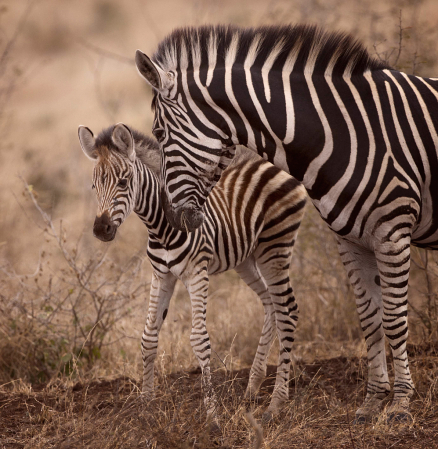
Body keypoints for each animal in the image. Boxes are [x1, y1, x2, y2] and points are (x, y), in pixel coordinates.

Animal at [78, 122, 304, 424]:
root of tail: (273, 162)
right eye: (94, 186)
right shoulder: (161, 275)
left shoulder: (197, 273)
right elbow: (148, 336)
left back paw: (277, 402)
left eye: (123, 183)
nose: (100, 230)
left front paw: (212, 415)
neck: (160, 227)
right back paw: (253, 387)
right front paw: (146, 404)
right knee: (271, 304)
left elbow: (199, 340)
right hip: (247, 258)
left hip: (276, 246)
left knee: (287, 310)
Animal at [133, 24, 438, 424]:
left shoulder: (392, 231)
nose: (174, 219)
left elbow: (393, 318)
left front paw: (401, 404)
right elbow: (369, 318)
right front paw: (372, 401)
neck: (340, 132)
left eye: (159, 132)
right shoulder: (351, 239)